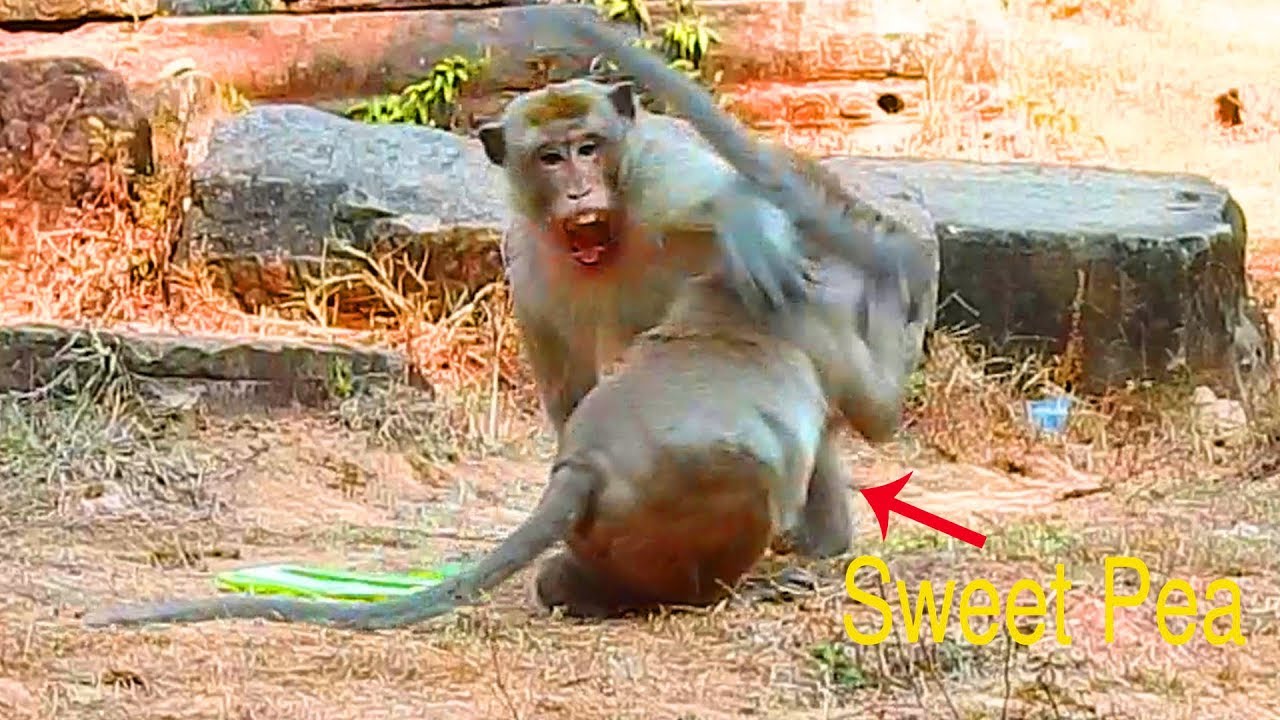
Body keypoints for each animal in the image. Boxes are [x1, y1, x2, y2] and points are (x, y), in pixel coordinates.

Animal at [81, 207, 918, 630]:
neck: (727, 291)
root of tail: (583, 468)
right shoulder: (819, 321)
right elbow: (877, 411)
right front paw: (909, 275)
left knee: (567, 580)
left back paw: (574, 594)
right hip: (702, 497)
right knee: (744, 496)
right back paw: (734, 591)